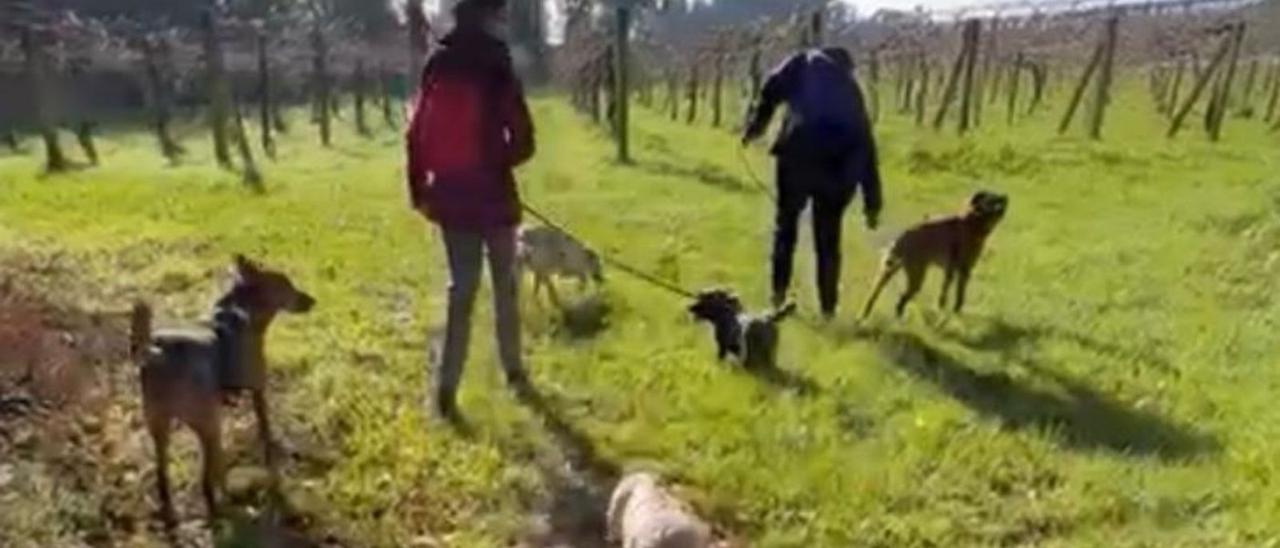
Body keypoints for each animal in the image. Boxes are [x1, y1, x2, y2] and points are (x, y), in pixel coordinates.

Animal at [126, 254, 314, 524]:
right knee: (205, 482)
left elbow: (222, 458)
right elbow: (265, 434)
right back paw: (220, 512)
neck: (241, 310)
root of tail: (157, 354)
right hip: (208, 423)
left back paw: (172, 513)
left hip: (159, 425)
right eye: (286, 285)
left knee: (163, 477)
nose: (312, 300)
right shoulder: (259, 391)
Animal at [860, 192, 1008, 321]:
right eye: (990, 201)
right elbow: (958, 295)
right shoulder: (962, 269)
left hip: (887, 271)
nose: (1004, 202)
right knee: (901, 299)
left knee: (875, 295)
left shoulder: (951, 270)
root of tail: (900, 239)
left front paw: (943, 310)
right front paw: (954, 312)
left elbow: (946, 292)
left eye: (998, 200)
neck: (973, 221)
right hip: (916, 276)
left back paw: (866, 316)